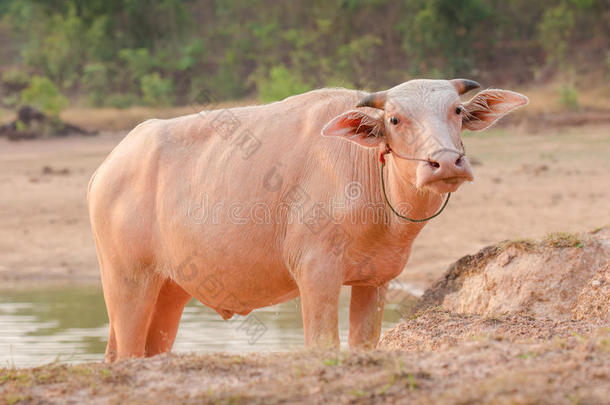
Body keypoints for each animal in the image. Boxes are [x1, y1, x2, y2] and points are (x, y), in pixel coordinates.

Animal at [88, 78, 524, 360]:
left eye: (457, 110)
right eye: (396, 120)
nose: (446, 162)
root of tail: (107, 168)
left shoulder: (375, 281)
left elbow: (363, 344)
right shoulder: (316, 272)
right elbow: (323, 344)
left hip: (169, 288)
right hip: (127, 279)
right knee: (124, 353)